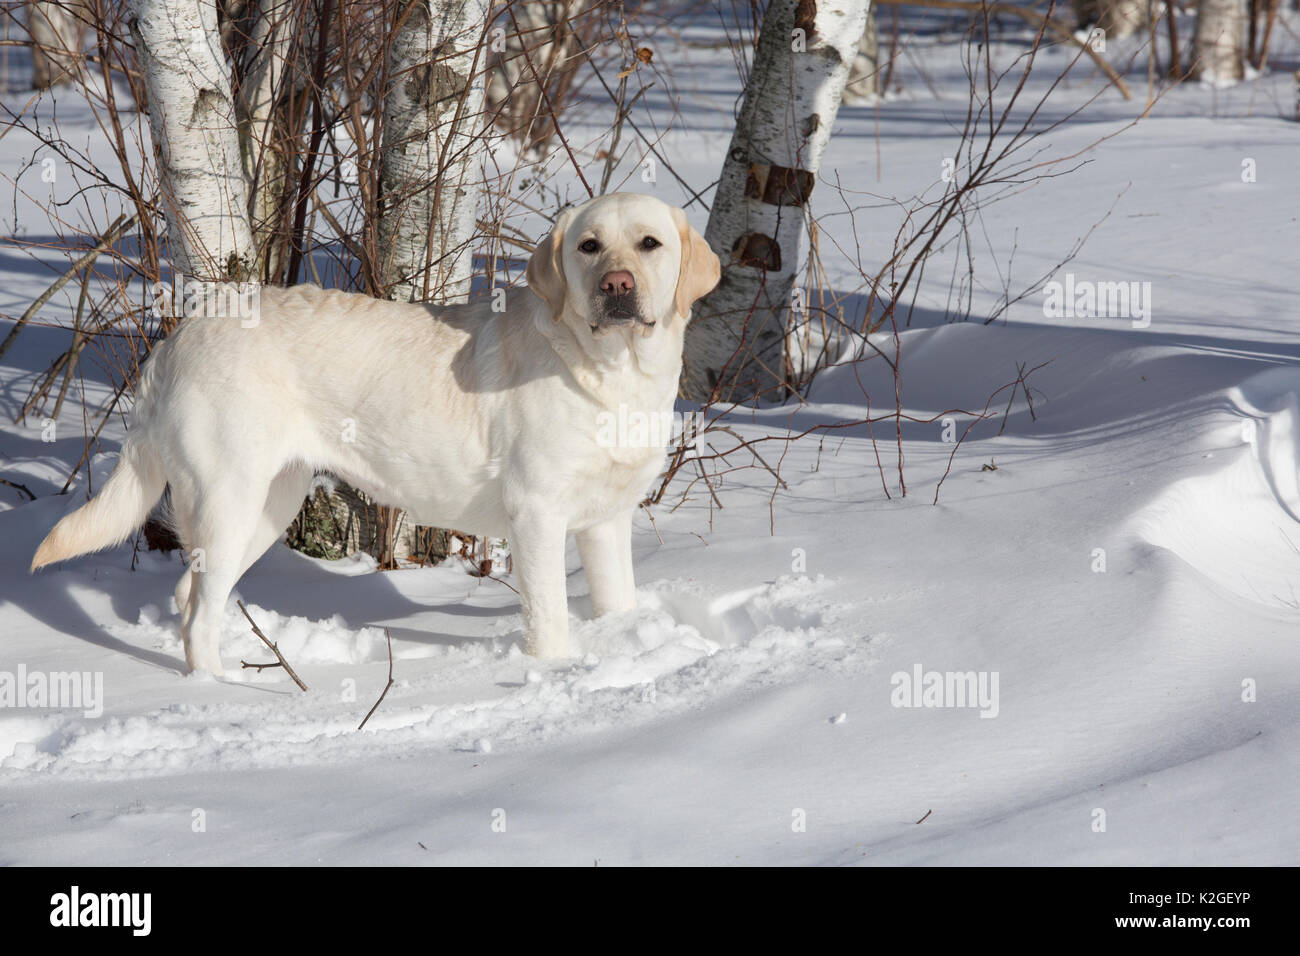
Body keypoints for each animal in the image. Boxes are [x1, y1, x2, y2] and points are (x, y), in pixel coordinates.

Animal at [32, 192, 722, 671]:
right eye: (589, 246)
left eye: (650, 243)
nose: (617, 285)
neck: (610, 373)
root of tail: (177, 339)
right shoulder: (537, 515)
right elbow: (549, 620)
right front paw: (552, 674)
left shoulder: (605, 521)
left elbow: (617, 603)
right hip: (228, 498)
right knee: (197, 611)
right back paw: (223, 694)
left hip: (269, 503)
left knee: (190, 593)